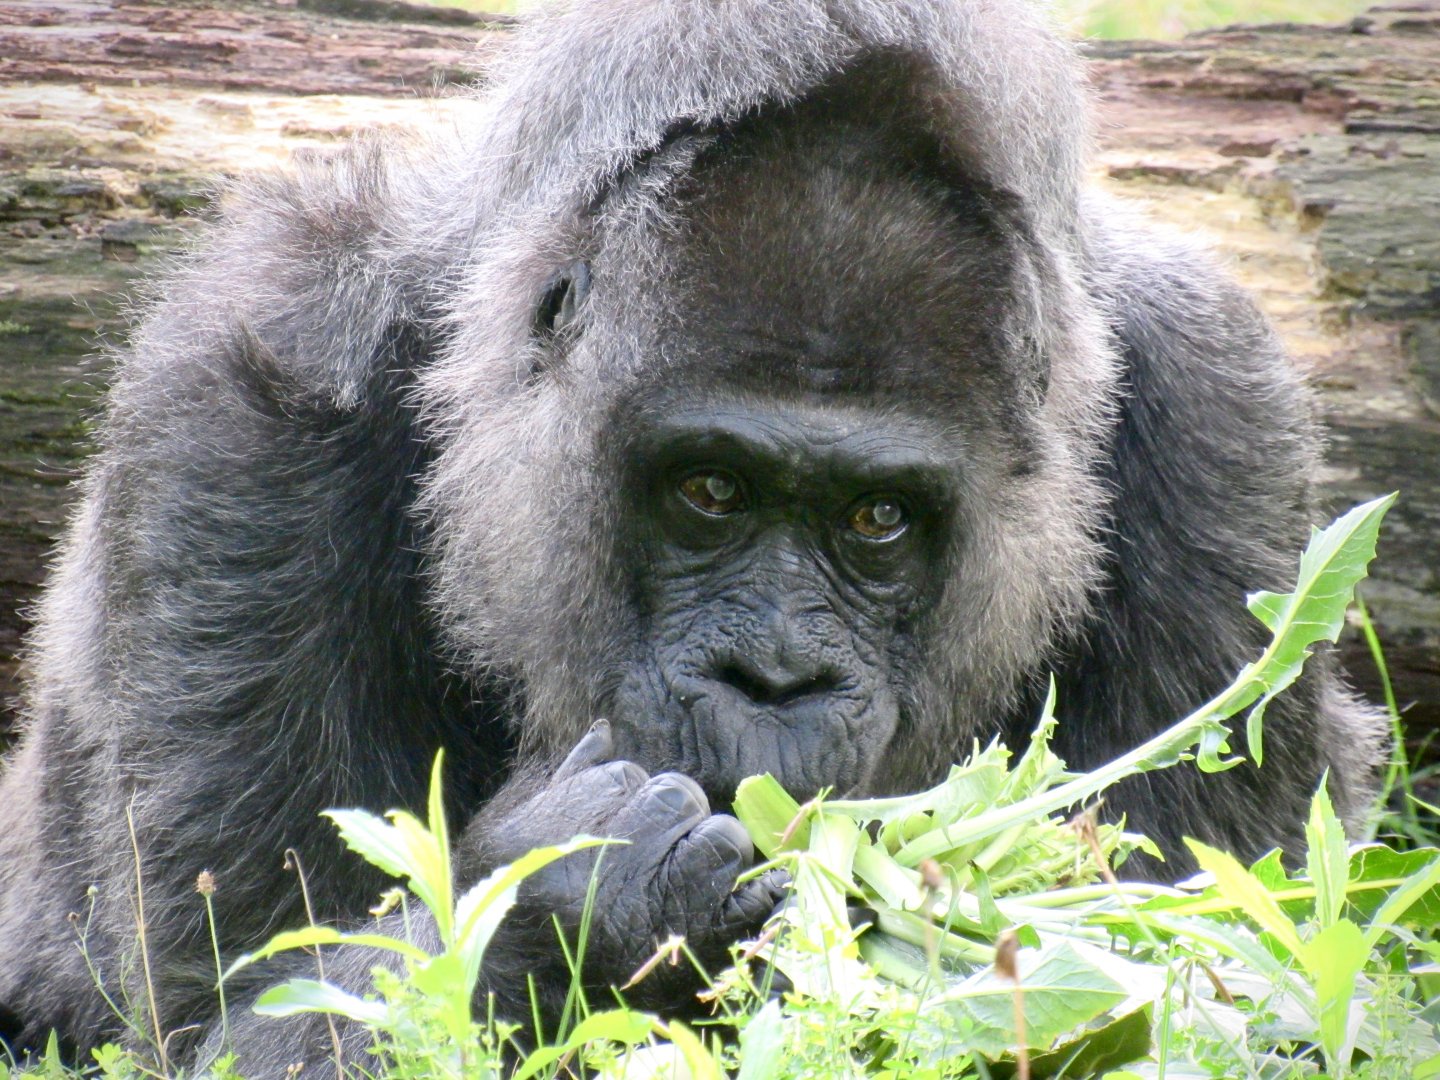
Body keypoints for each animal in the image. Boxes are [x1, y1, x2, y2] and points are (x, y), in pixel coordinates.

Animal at [0, 0, 1387, 1072]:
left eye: (877, 519)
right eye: (710, 491)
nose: (773, 682)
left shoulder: (1218, 400)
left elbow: (1232, 994)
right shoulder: (251, 383)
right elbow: (220, 1016)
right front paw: (573, 893)